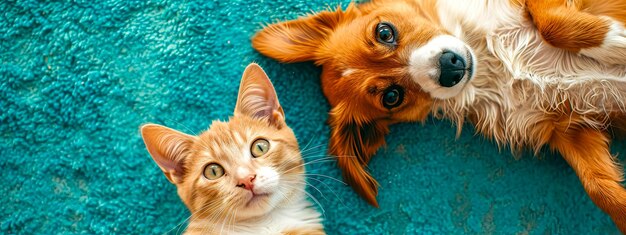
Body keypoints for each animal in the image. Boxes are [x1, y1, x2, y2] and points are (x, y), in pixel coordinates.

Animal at [250, 0, 624, 230]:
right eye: (392, 97)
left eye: (384, 32)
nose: (451, 67)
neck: (490, 61)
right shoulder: (570, 125)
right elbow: (602, 190)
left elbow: (551, 23)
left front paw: (615, 42)